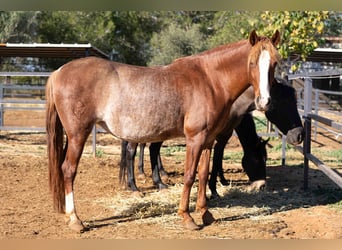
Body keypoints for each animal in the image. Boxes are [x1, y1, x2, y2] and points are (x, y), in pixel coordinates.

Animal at [45, 30, 280, 231]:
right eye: (251, 63)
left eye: (275, 63)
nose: (264, 102)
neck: (210, 80)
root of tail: (58, 72)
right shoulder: (195, 139)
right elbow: (190, 175)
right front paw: (187, 217)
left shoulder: (208, 140)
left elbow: (203, 174)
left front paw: (205, 213)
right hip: (78, 134)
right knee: (68, 169)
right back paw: (75, 219)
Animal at [119, 78, 302, 197]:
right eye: (283, 103)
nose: (299, 135)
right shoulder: (219, 135)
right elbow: (217, 157)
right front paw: (213, 189)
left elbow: (217, 158)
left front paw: (222, 181)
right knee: (134, 150)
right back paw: (135, 185)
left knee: (151, 149)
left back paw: (157, 182)